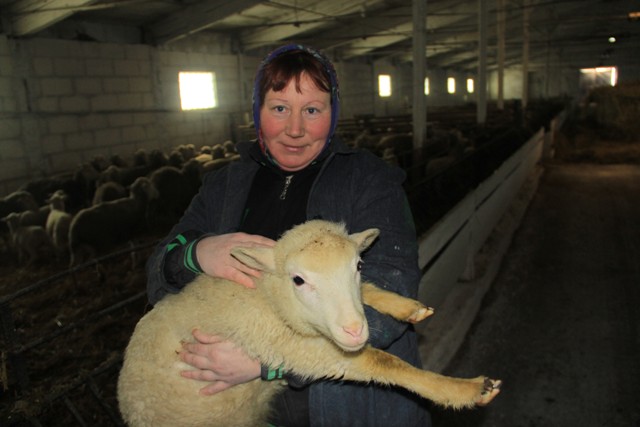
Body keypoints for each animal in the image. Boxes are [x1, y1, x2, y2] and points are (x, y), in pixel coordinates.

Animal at [117, 220, 501, 427]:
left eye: (358, 266)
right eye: (298, 280)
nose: (355, 330)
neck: (266, 296)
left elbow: (369, 291)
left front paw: (407, 307)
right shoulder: (294, 346)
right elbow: (383, 362)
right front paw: (467, 390)